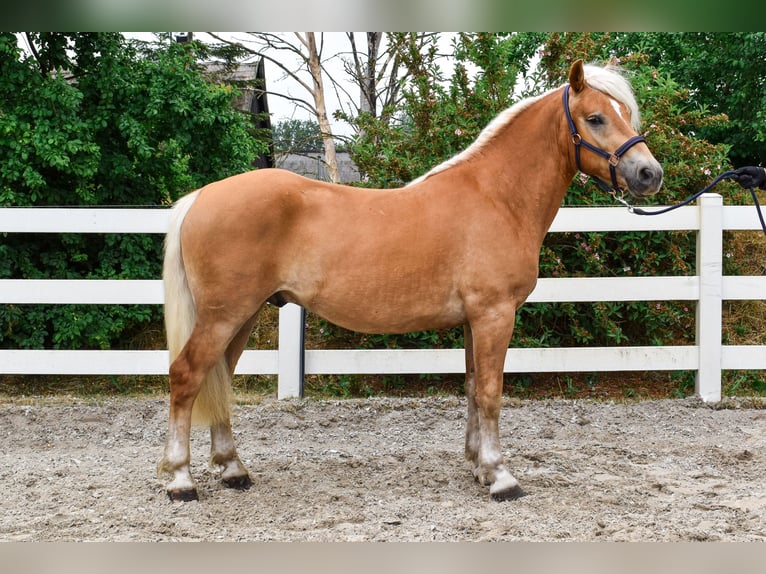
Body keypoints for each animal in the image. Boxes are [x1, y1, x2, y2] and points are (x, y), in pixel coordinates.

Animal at [159, 57, 664, 500]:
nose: (649, 173)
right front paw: (501, 477)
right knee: (187, 376)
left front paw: (479, 467)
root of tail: (200, 197)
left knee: (220, 378)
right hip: (224, 315)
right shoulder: (494, 314)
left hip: (241, 316)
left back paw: (233, 470)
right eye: (595, 117)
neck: (497, 197)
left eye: (625, 113)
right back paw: (181, 480)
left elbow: (472, 389)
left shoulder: (473, 320)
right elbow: (491, 392)